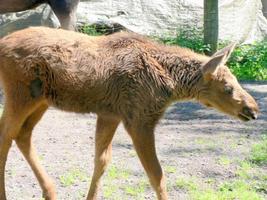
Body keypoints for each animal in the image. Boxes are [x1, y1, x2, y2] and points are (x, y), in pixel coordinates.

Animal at [0, 27, 260, 200]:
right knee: (6, 135)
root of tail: (2, 43)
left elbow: (102, 161)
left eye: (236, 80)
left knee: (22, 135)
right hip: (20, 95)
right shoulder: (140, 120)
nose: (253, 109)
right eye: (227, 88)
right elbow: (156, 175)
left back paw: (50, 191)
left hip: (41, 100)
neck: (171, 86)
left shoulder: (110, 114)